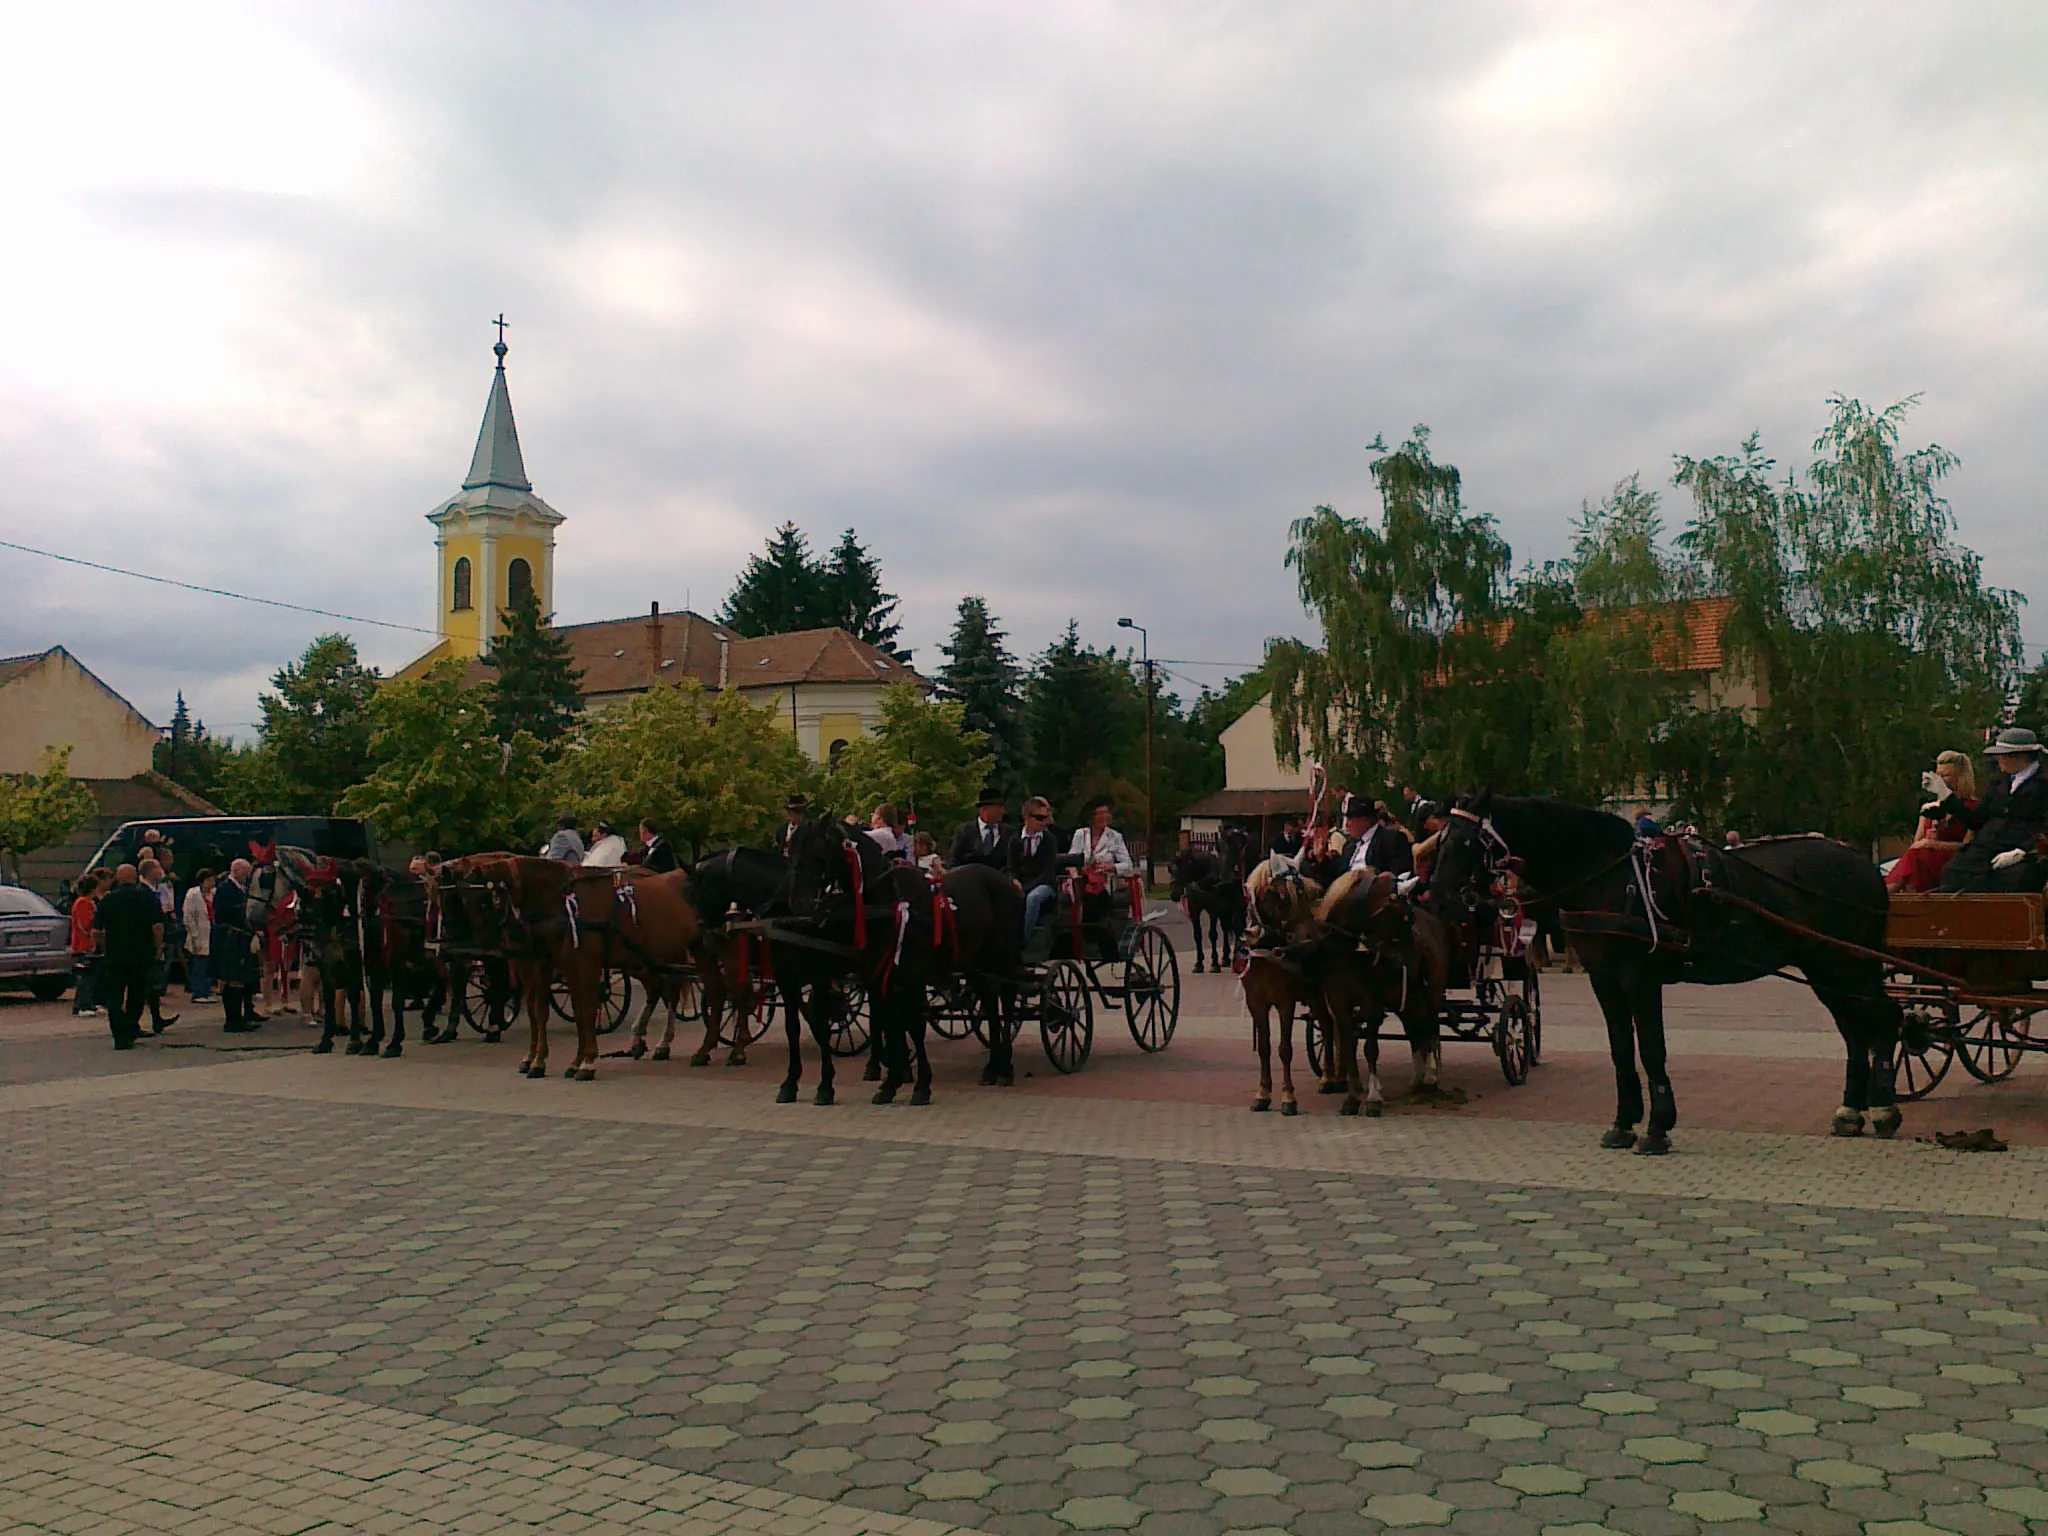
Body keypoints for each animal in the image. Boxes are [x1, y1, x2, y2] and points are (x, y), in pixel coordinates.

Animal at [1171, 831, 1245, 974]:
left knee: (1236, 926)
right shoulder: (1194, 910)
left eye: (1186, 868)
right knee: (1226, 929)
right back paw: (1225, 958)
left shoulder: (1213, 910)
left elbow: (1212, 934)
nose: (1174, 895)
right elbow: (1197, 935)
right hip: (1224, 910)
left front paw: (1214, 963)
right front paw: (1199, 963)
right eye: (1171, 869)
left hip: (1234, 906)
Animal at [1433, 794, 1892, 1155]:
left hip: (1852, 966)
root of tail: (1862, 863)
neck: (1612, 875)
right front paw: (1623, 1124)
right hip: (1825, 970)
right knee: (1855, 1032)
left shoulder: (1640, 978)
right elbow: (1621, 1049)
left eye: (1467, 841)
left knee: (1886, 1020)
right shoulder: (1604, 980)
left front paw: (1656, 1128)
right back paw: (1851, 1112)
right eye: (1441, 838)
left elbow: (1652, 1049)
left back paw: (1884, 1108)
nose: (1435, 893)